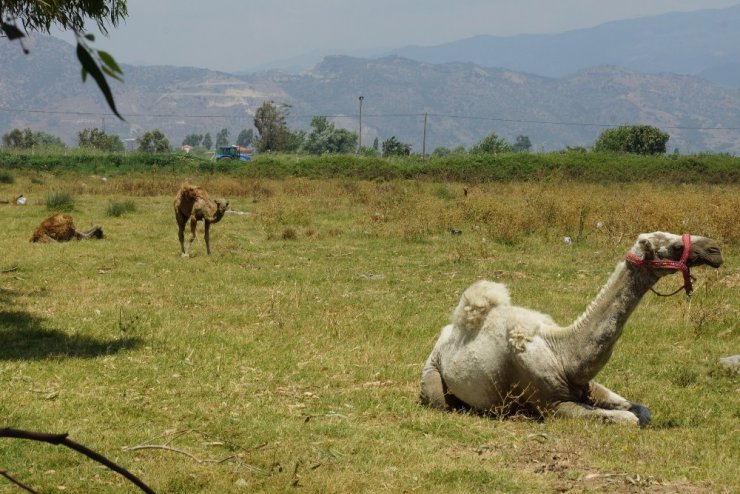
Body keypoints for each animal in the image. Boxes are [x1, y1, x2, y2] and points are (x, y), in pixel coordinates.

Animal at [422, 233, 724, 426]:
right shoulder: (554, 405)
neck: (563, 353)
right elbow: (627, 419)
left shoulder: (587, 385)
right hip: (432, 377)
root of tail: (445, 333)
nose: (716, 250)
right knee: (439, 401)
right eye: (675, 245)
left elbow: (643, 411)